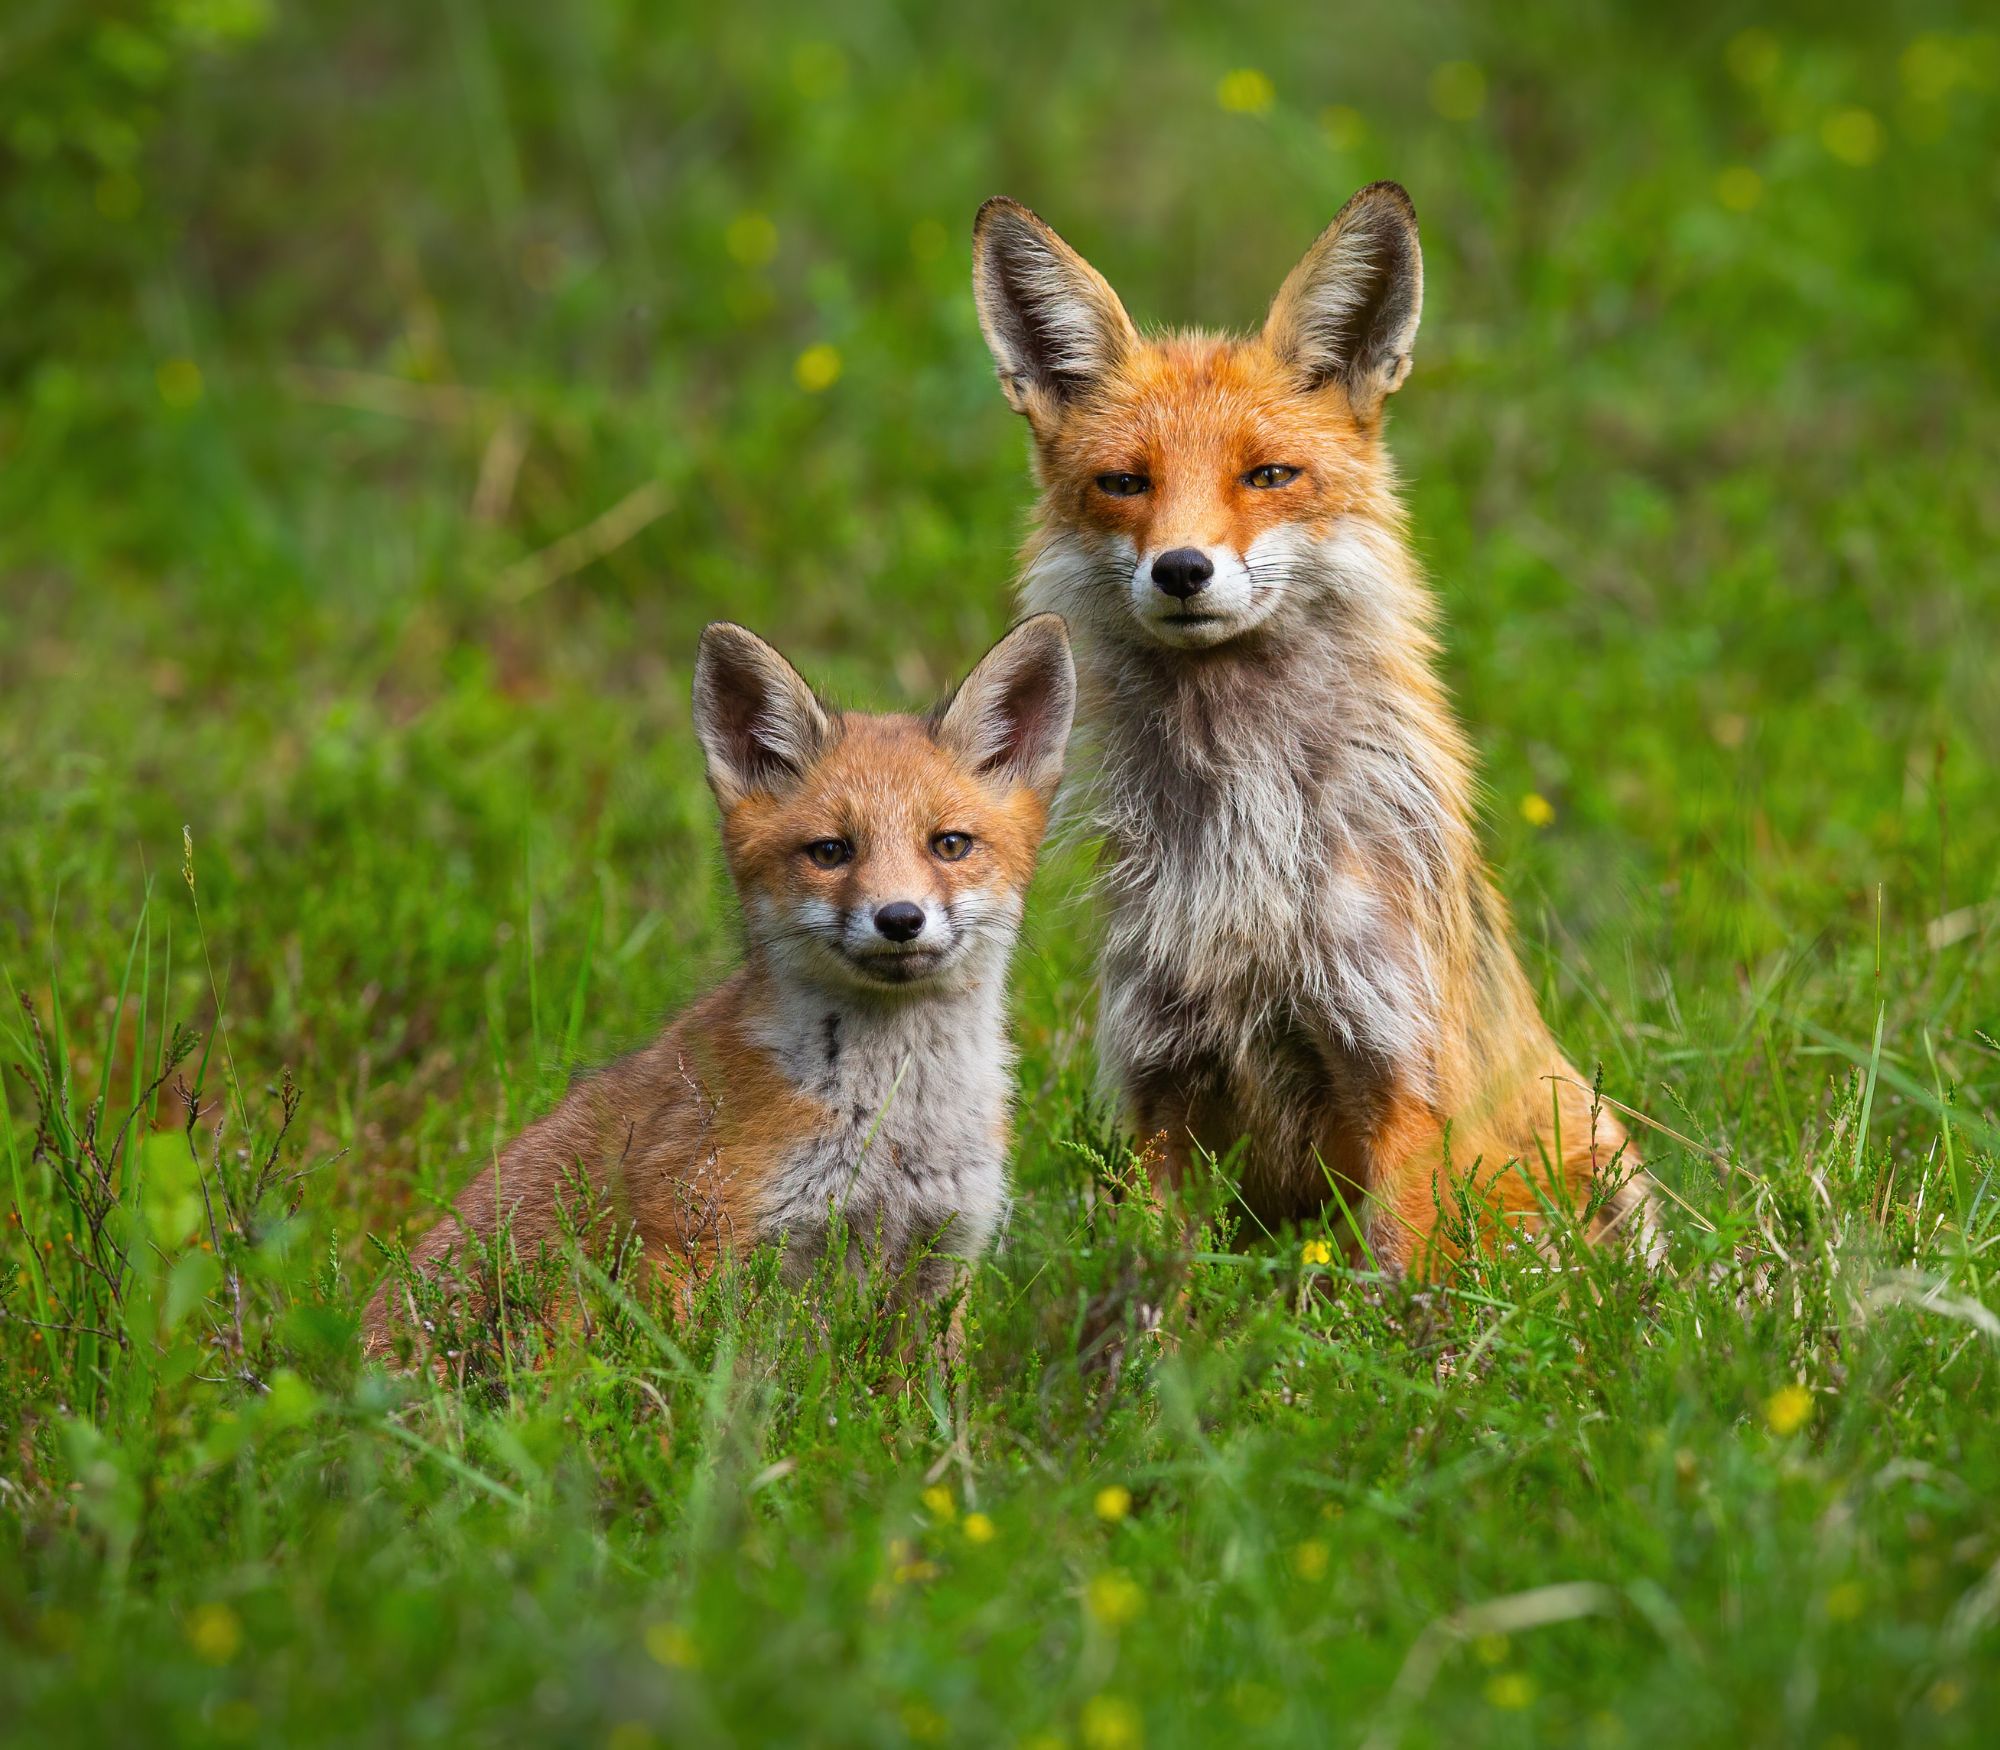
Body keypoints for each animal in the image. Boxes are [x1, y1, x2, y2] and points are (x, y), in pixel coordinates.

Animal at [366, 616, 1072, 1352]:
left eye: (950, 845)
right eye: (831, 851)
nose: (900, 918)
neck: (894, 1122)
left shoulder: (941, 1260)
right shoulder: (690, 1236)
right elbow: (694, 1375)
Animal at [968, 185, 1656, 1272]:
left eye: (1268, 475)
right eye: (1123, 484)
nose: (1181, 569)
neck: (1245, 846)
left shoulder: (1391, 1062)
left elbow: (1404, 1280)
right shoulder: (1163, 1075)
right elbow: (1153, 1283)